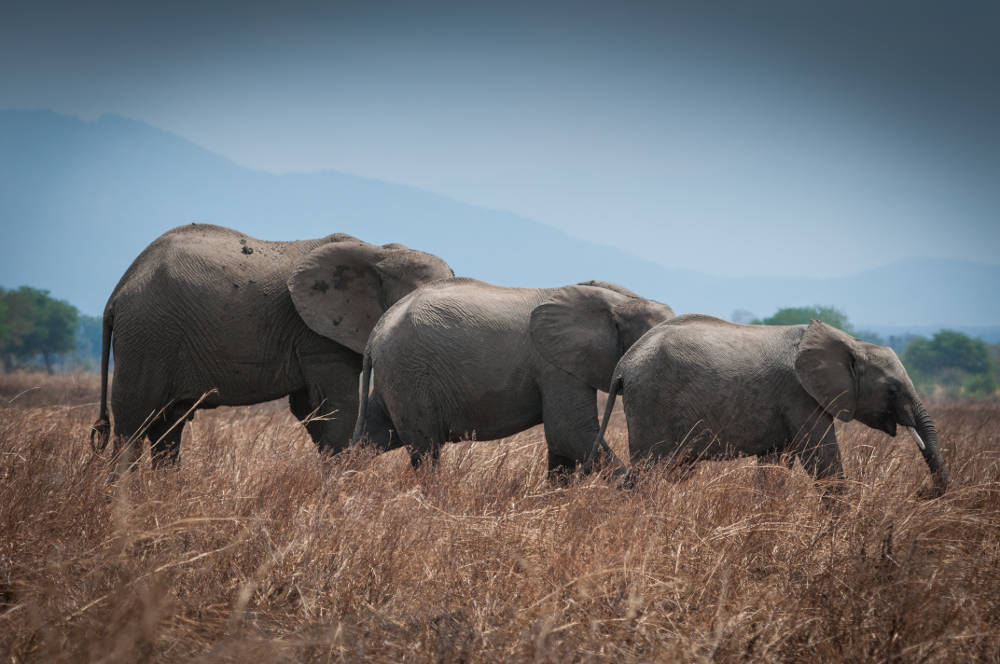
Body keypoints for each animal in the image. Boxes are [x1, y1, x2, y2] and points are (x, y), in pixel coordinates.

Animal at [93, 223, 454, 466]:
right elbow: (338, 408)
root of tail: (117, 293)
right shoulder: (316, 335)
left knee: (167, 427)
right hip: (147, 336)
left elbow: (311, 410)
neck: (381, 252)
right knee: (133, 422)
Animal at [348, 278, 676, 474]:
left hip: (397, 377)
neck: (617, 302)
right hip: (409, 374)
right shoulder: (554, 367)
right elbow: (571, 432)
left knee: (372, 437)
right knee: (425, 451)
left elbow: (563, 444)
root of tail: (378, 329)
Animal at [596, 314, 948, 496]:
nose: (922, 493)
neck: (852, 343)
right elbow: (822, 459)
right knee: (648, 471)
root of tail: (623, 366)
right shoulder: (800, 395)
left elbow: (775, 467)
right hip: (651, 402)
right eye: (892, 390)